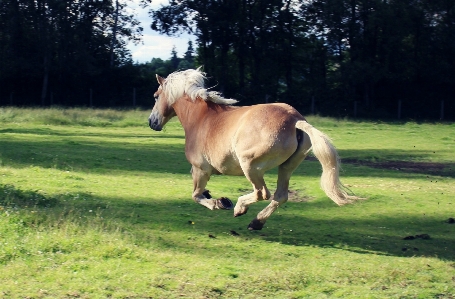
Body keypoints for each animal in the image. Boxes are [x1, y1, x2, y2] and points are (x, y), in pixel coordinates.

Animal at [149, 68, 360, 232]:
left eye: (156, 96)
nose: (152, 122)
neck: (201, 119)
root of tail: (295, 120)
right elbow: (199, 194)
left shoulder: (200, 170)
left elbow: (196, 196)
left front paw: (220, 202)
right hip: (286, 167)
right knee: (280, 196)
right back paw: (256, 222)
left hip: (250, 165)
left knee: (262, 193)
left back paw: (239, 208)